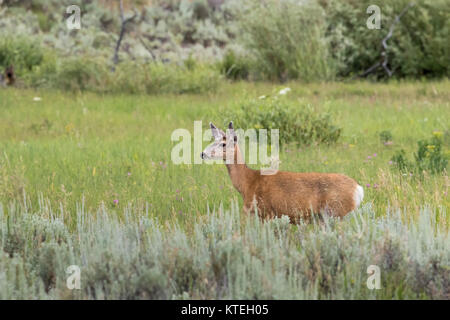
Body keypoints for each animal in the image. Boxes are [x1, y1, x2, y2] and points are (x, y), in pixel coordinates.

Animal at [202, 122, 364, 222]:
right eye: (212, 141)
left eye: (223, 144)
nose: (202, 153)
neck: (248, 183)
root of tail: (358, 189)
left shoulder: (265, 212)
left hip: (337, 213)